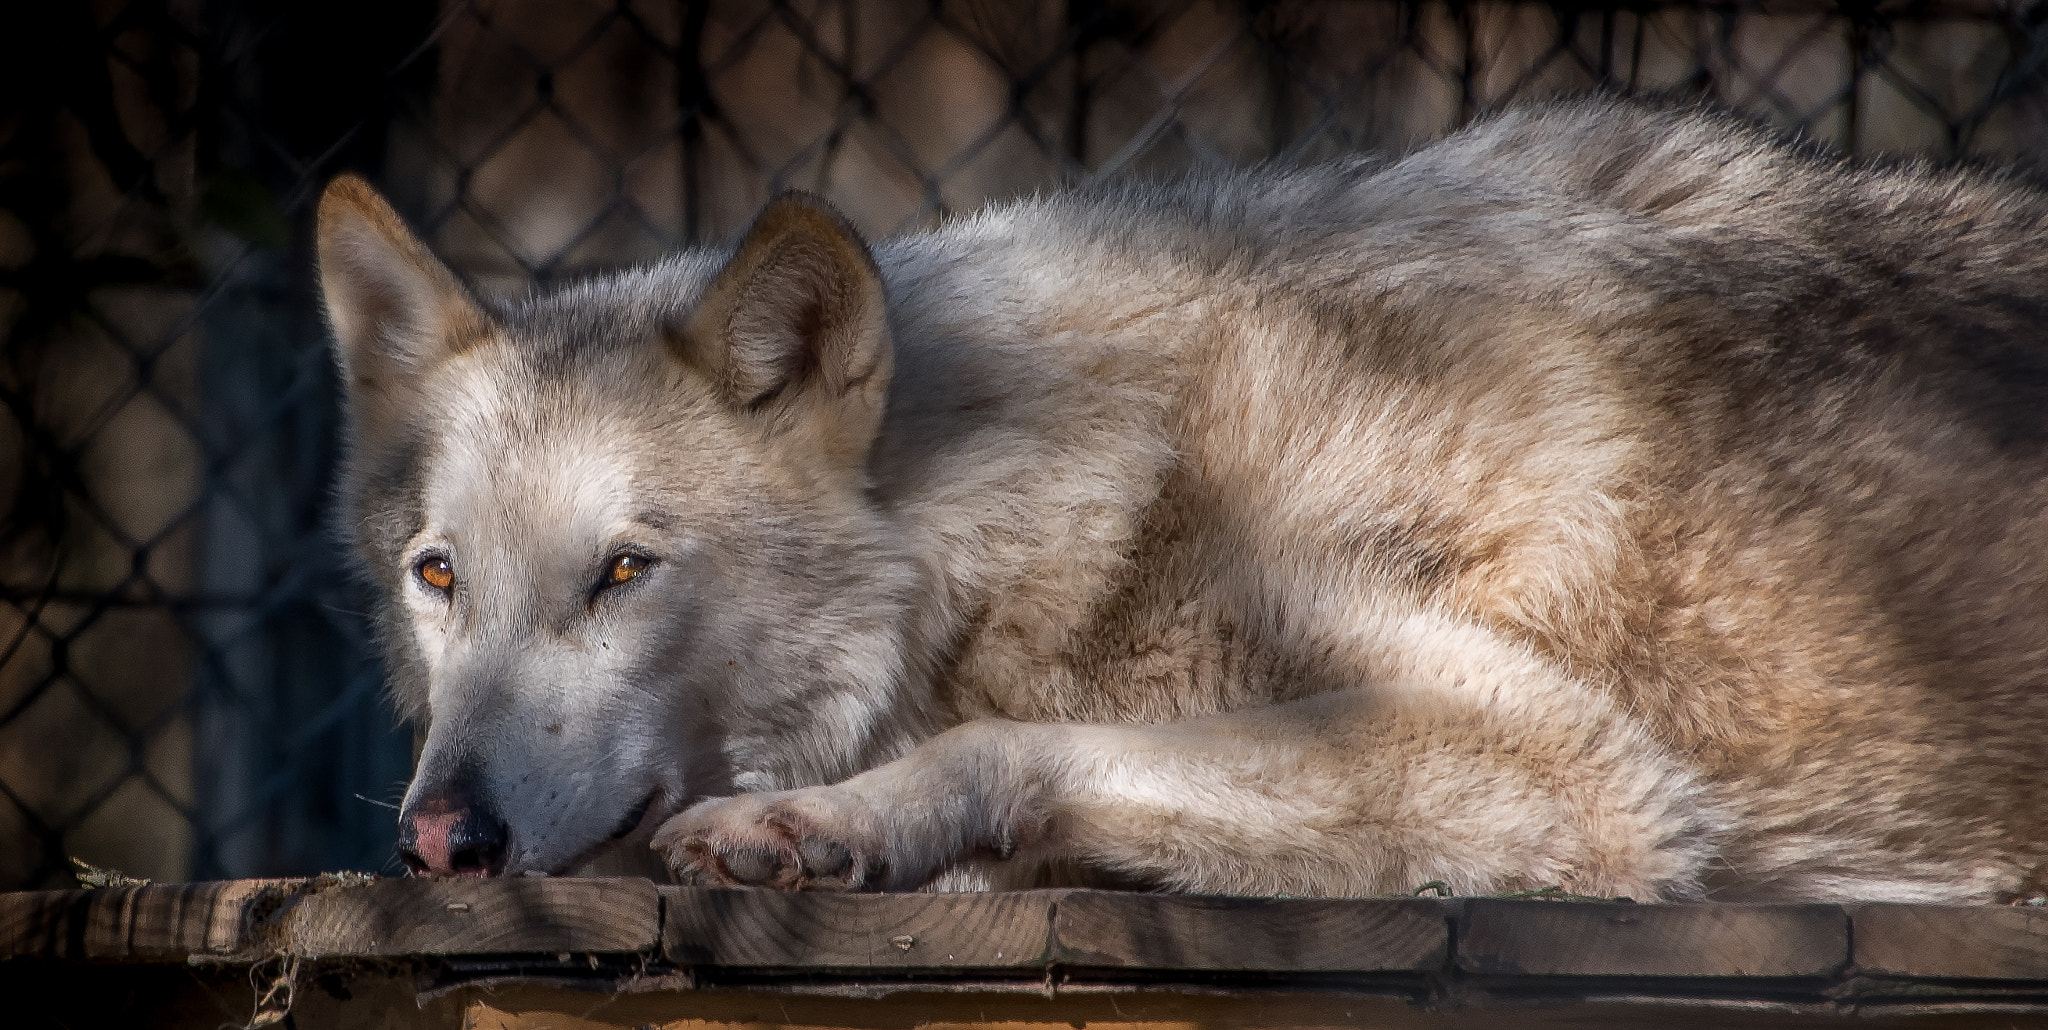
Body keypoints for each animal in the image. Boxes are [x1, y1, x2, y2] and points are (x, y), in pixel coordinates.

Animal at [317, 98, 2048, 902]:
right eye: (438, 576)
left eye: (623, 572)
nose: (443, 835)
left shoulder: (1569, 768)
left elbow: (1012, 742)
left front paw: (824, 824)